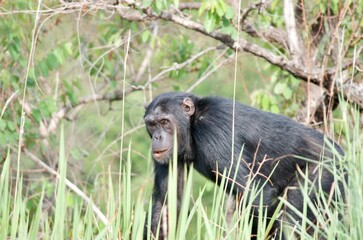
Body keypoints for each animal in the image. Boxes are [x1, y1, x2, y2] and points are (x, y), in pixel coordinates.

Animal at [144, 91, 346, 238]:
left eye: (164, 122)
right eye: (152, 124)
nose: (157, 137)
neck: (191, 124)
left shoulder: (212, 128)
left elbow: (254, 194)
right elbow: (165, 204)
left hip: (326, 171)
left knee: (292, 214)